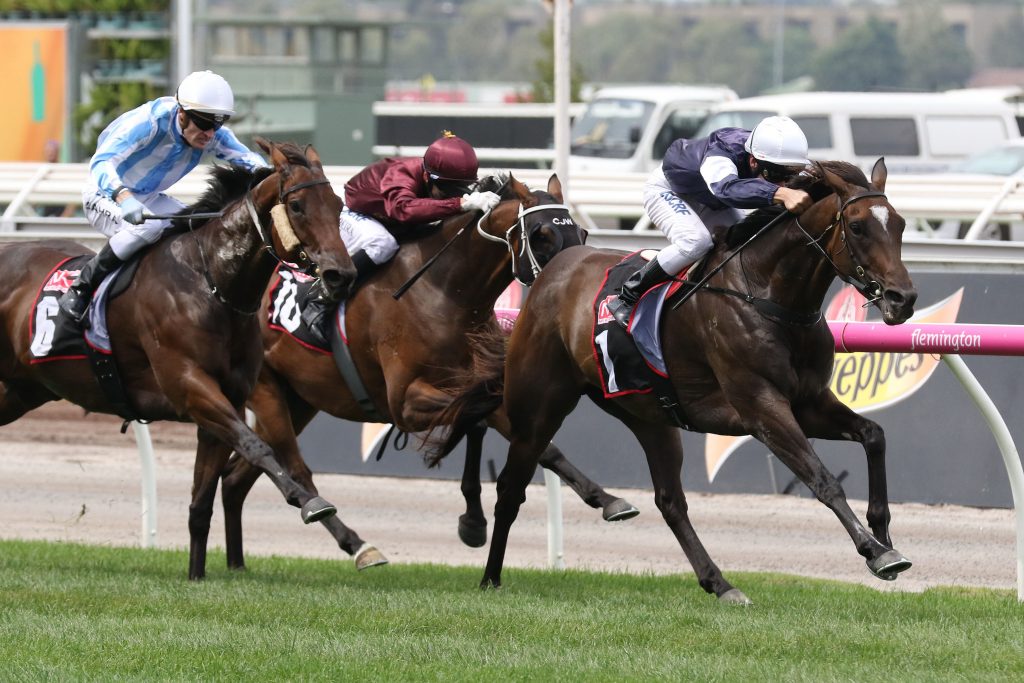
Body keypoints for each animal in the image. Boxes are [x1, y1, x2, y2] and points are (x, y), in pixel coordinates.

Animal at [0, 140, 356, 580]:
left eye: (338, 205)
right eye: (297, 206)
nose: (342, 275)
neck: (210, 283)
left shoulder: (227, 399)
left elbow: (202, 499)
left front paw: (196, 575)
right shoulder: (191, 388)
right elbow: (258, 447)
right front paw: (311, 504)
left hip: (21, 390)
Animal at [215, 173, 638, 572]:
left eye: (581, 233)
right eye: (541, 235)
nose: (571, 280)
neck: (446, 292)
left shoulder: (467, 383)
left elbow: (534, 442)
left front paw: (608, 499)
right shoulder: (405, 402)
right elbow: (473, 419)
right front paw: (472, 520)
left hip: (300, 398)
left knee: (236, 479)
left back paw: (236, 562)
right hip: (268, 391)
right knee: (294, 469)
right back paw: (356, 544)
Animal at [431, 159, 918, 604]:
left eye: (899, 224)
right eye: (857, 227)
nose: (903, 299)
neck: (766, 294)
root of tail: (551, 273)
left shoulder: (809, 401)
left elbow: (874, 435)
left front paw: (883, 530)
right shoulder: (762, 408)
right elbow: (822, 479)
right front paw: (876, 553)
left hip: (649, 416)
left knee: (670, 501)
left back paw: (720, 584)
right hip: (539, 406)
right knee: (511, 488)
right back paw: (490, 576)